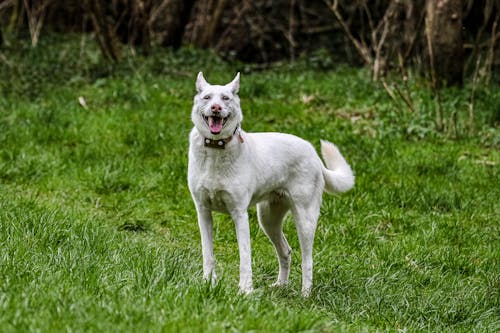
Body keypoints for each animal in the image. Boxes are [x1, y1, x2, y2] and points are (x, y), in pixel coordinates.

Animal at [188, 72, 356, 296]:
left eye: (226, 98)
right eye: (207, 97)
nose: (216, 108)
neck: (216, 148)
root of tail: (313, 155)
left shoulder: (239, 214)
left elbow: (245, 257)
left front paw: (245, 291)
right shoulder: (203, 212)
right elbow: (208, 255)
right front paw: (208, 284)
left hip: (304, 219)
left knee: (307, 260)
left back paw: (305, 294)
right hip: (268, 219)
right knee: (285, 251)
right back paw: (280, 285)